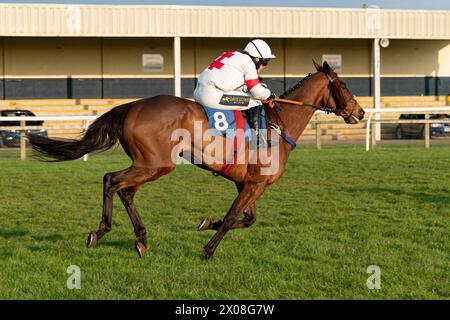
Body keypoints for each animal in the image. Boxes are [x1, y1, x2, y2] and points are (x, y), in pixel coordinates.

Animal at [27, 60, 366, 260]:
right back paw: (101, 232)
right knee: (112, 180)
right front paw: (207, 250)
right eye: (343, 85)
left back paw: (140, 239)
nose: (361, 112)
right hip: (155, 164)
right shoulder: (255, 184)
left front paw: (205, 223)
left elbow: (247, 219)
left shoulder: (247, 183)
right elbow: (232, 218)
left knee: (125, 191)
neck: (278, 123)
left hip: (147, 165)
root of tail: (132, 106)